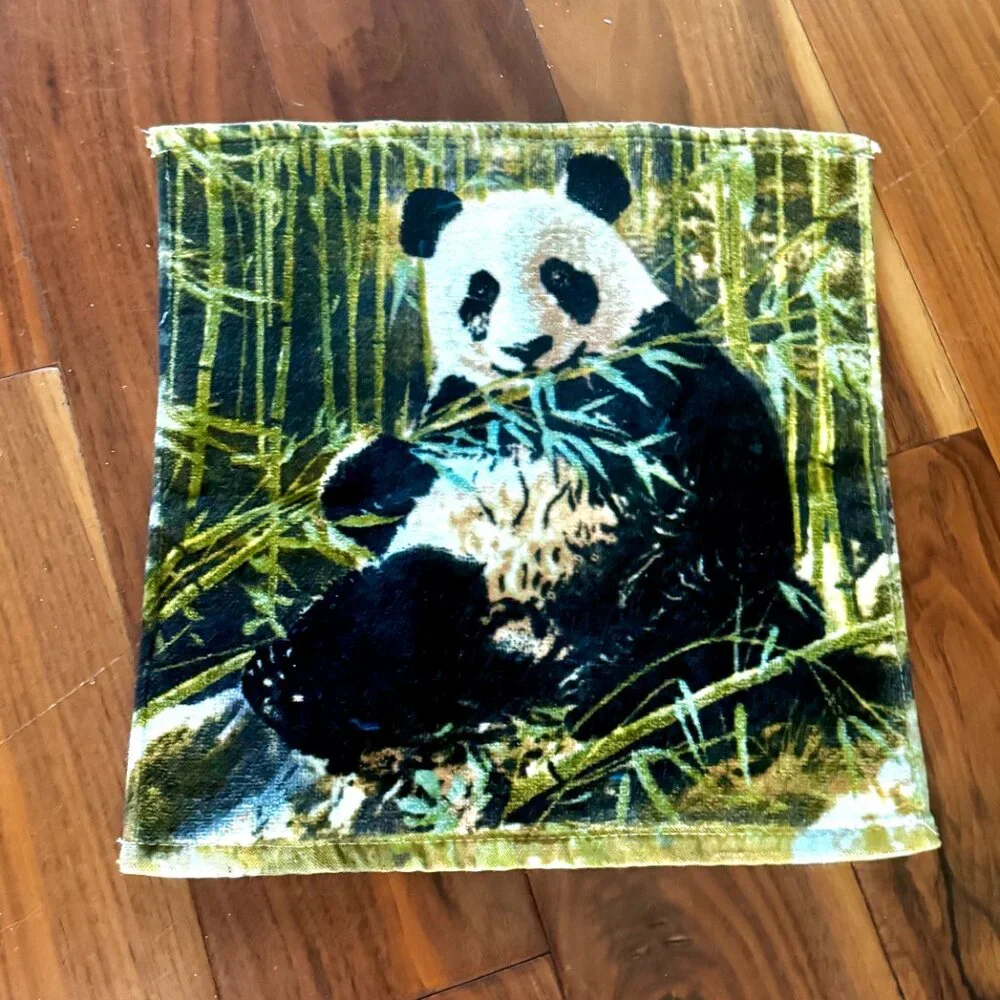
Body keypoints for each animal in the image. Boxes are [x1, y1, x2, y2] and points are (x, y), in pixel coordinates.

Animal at [242, 153, 827, 786]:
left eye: (561, 277)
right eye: (481, 290)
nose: (527, 348)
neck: (547, 391)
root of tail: (523, 663)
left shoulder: (662, 367)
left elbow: (731, 493)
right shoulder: (461, 409)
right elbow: (387, 497)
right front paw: (358, 477)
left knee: (735, 622)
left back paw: (624, 685)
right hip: (465, 588)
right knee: (392, 608)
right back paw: (287, 687)